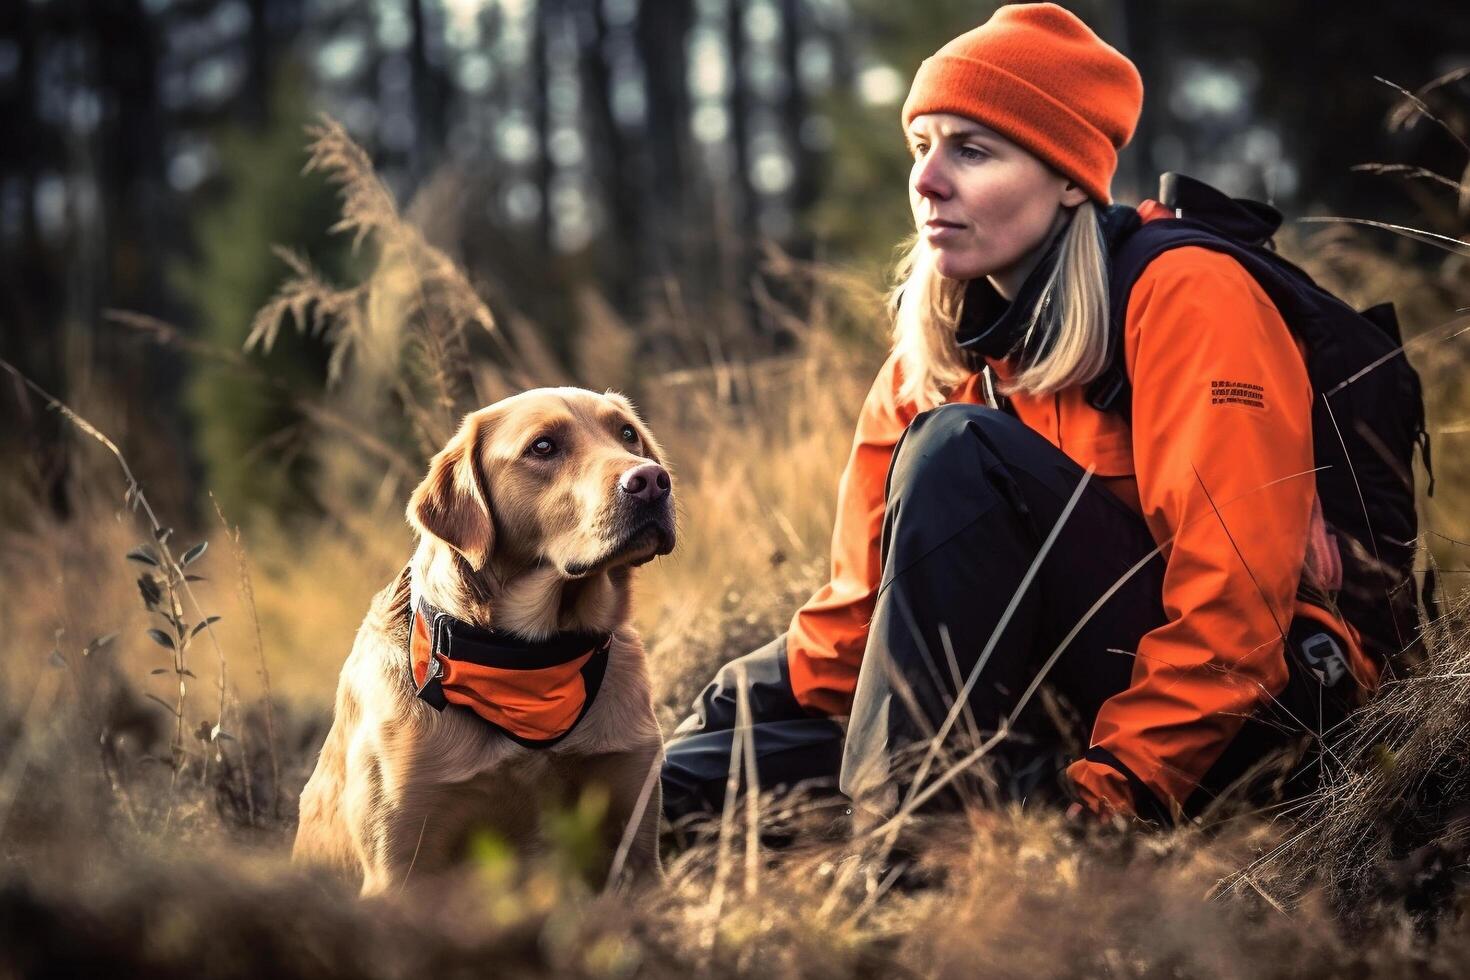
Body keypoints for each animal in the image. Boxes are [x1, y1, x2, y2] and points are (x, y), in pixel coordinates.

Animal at [298, 387, 676, 893]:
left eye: (628, 434)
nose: (652, 480)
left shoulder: (635, 846)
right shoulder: (398, 871)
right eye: (542, 447)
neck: (530, 656)